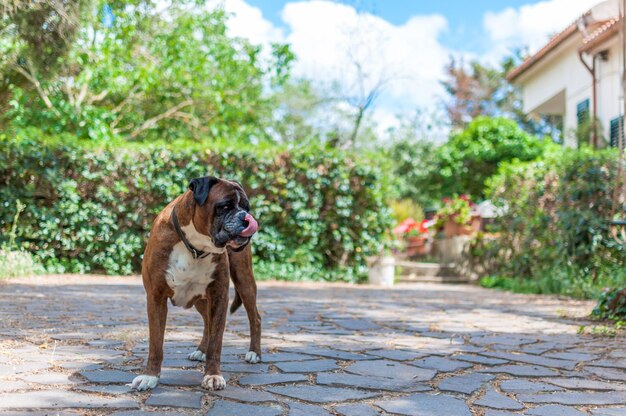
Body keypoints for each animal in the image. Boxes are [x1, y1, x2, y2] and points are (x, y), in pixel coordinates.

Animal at [130, 176, 260, 390]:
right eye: (225, 206)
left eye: (246, 207)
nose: (246, 217)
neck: (195, 246)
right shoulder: (155, 298)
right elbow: (156, 343)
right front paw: (150, 376)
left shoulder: (219, 296)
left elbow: (216, 341)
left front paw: (213, 375)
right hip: (200, 300)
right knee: (207, 322)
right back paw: (201, 350)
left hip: (244, 281)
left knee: (254, 318)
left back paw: (254, 353)